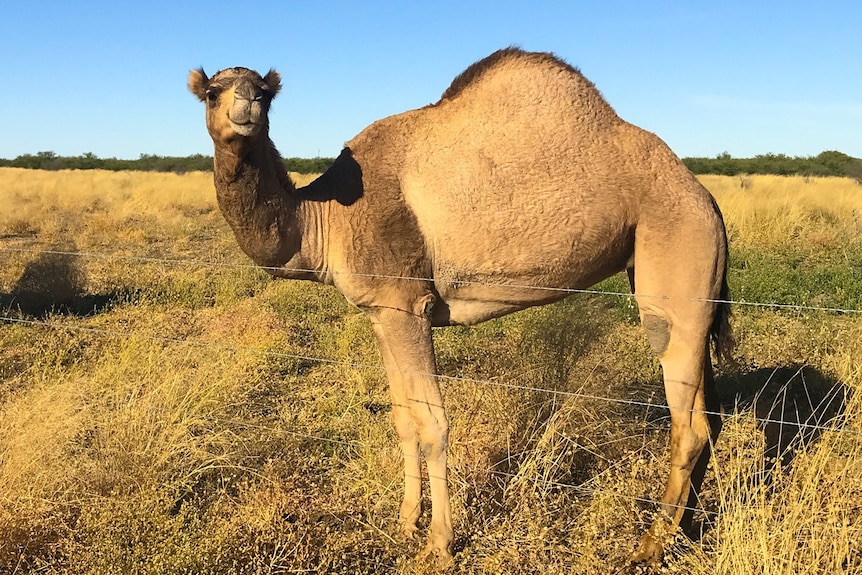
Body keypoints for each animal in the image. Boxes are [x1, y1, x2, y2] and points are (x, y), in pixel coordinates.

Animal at [187, 46, 728, 568]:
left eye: (264, 92)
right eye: (212, 92)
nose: (247, 105)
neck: (325, 218)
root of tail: (704, 196)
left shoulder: (408, 305)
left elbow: (433, 426)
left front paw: (439, 543)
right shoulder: (381, 314)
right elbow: (402, 419)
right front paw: (405, 521)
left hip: (675, 253)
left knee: (688, 422)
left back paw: (649, 545)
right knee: (710, 416)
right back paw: (684, 531)